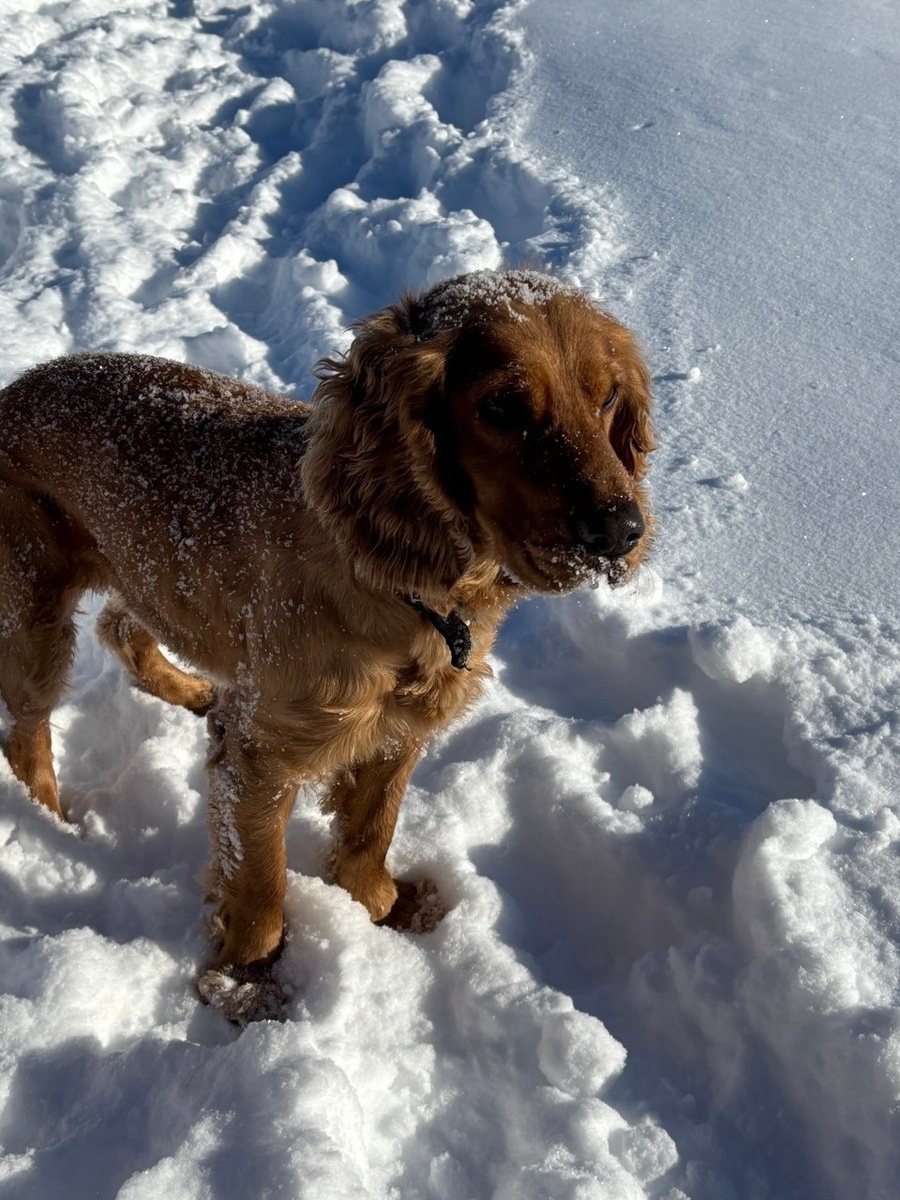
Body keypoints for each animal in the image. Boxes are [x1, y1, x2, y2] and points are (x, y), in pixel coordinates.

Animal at [0, 269, 654, 1021]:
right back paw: (54, 825)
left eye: (608, 396)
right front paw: (247, 981)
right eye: (503, 406)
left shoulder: (400, 727)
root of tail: (15, 387)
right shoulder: (259, 755)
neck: (414, 593)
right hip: (35, 613)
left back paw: (193, 693)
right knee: (26, 732)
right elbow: (262, 884)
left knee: (122, 628)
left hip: (150, 574)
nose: (620, 532)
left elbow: (372, 831)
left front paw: (381, 906)